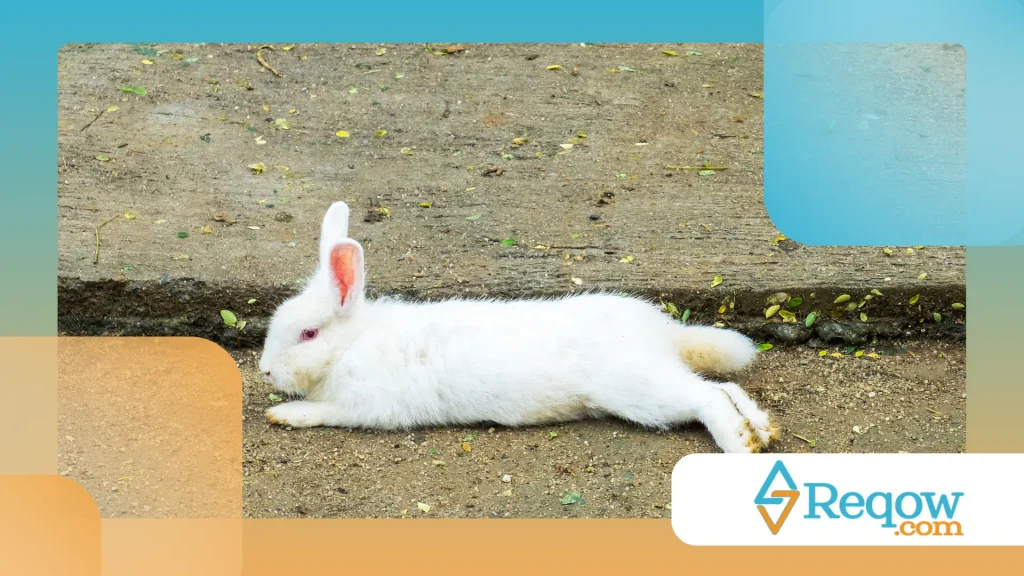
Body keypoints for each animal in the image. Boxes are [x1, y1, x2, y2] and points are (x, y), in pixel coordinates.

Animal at [258, 201, 780, 454]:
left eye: (308, 334)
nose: (264, 371)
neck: (352, 344)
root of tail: (663, 331)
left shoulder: (369, 405)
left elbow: (325, 412)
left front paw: (284, 414)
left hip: (638, 389)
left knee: (706, 397)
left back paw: (740, 446)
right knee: (725, 386)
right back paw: (761, 429)